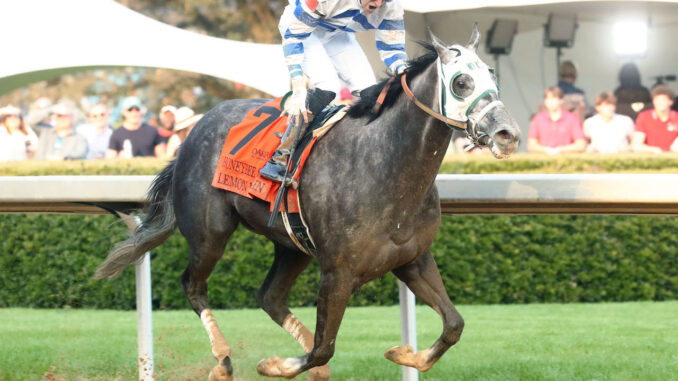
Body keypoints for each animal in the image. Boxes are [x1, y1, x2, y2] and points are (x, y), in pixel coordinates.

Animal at [94, 25, 520, 378]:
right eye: (462, 81)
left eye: (493, 74)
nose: (508, 134)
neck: (386, 167)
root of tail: (194, 131)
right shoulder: (338, 272)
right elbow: (322, 348)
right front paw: (274, 365)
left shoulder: (412, 260)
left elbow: (454, 325)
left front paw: (404, 355)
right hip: (209, 232)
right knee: (193, 285)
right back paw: (223, 360)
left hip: (291, 244)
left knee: (269, 297)